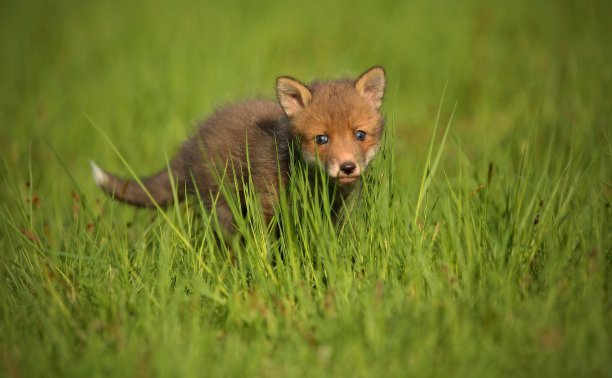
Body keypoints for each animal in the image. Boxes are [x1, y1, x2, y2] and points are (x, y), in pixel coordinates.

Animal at [91, 66, 384, 232]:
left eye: (360, 135)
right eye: (321, 139)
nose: (347, 167)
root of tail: (191, 143)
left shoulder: (338, 214)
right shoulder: (265, 205)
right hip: (222, 206)